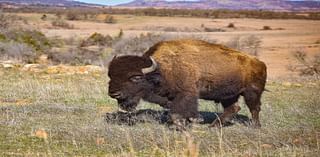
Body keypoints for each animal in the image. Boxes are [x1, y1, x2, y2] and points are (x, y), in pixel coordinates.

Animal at [109, 39, 266, 127]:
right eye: (110, 75)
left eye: (136, 77)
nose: (114, 93)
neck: (163, 68)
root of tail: (259, 62)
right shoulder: (170, 98)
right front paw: (190, 122)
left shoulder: (186, 94)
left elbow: (177, 113)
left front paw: (187, 123)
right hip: (228, 95)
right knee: (233, 108)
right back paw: (214, 126)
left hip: (252, 92)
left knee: (254, 108)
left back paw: (255, 126)